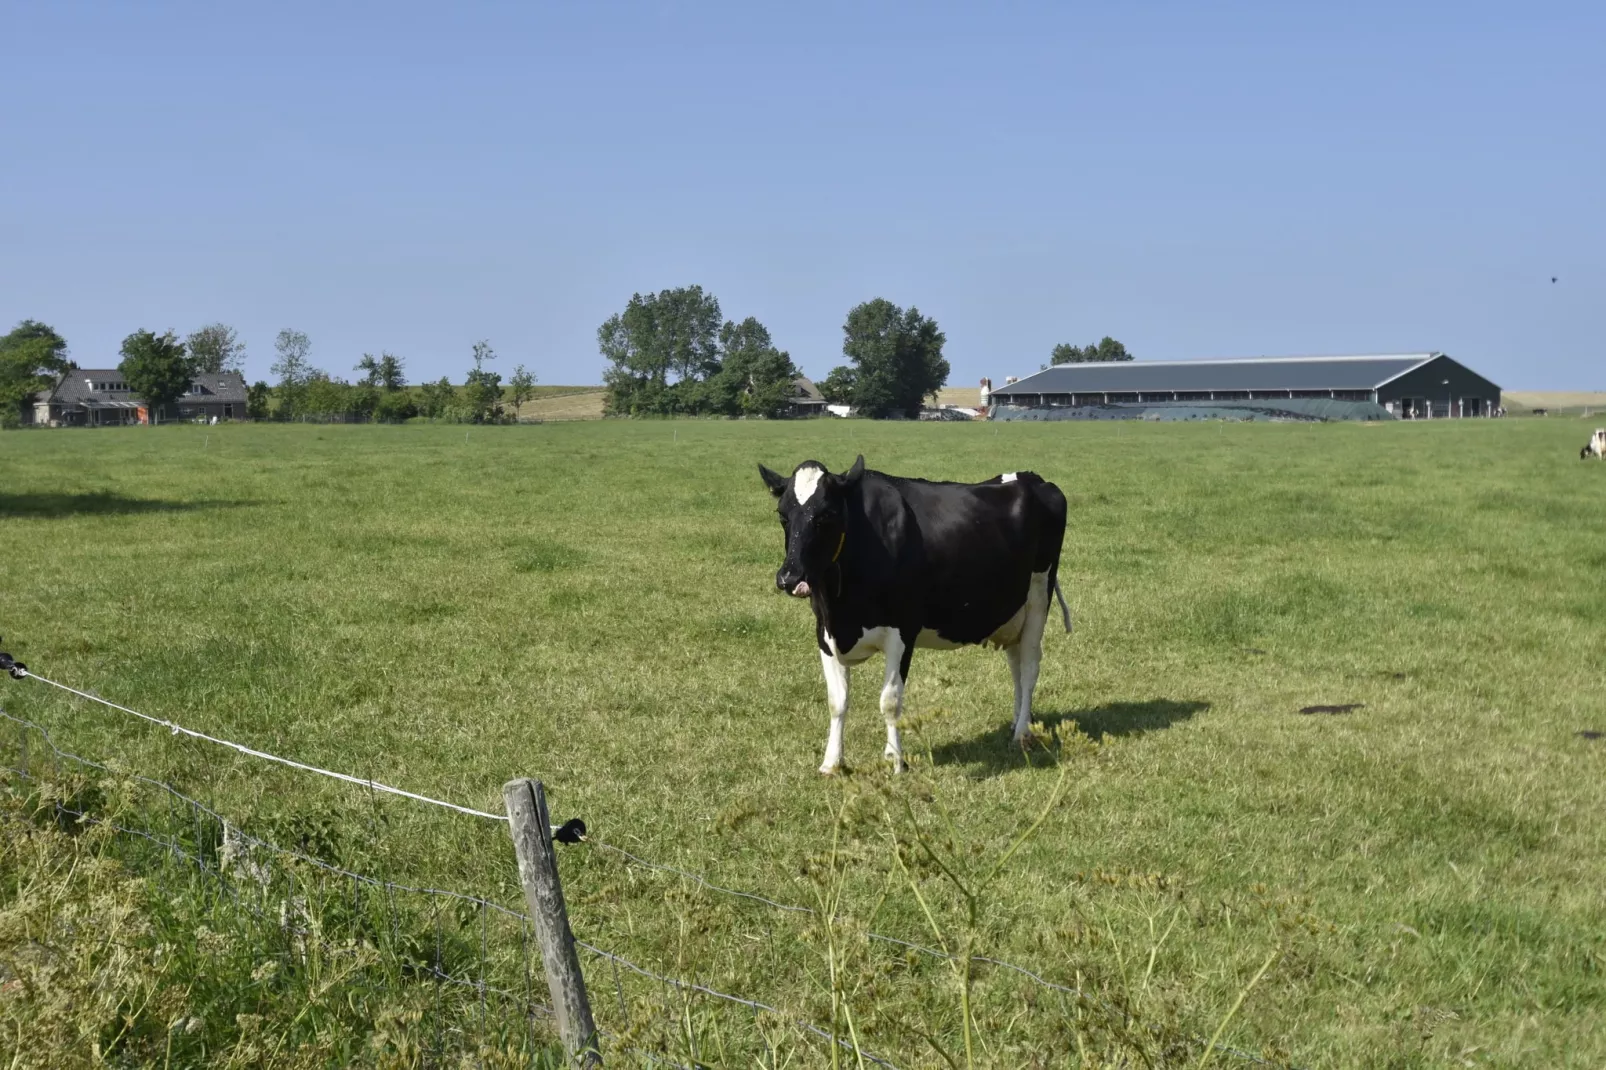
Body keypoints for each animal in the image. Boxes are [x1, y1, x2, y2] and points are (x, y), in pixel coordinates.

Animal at [761, 453, 1072, 771]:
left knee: (1030, 665)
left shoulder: (902, 632)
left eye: (826, 515)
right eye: (783, 515)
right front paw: (832, 763)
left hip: (1038, 595)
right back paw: (1019, 721)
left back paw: (1022, 733)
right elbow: (837, 701)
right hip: (1012, 611)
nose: (789, 577)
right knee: (1016, 664)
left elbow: (890, 700)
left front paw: (895, 759)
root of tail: (1031, 477)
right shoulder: (825, 633)